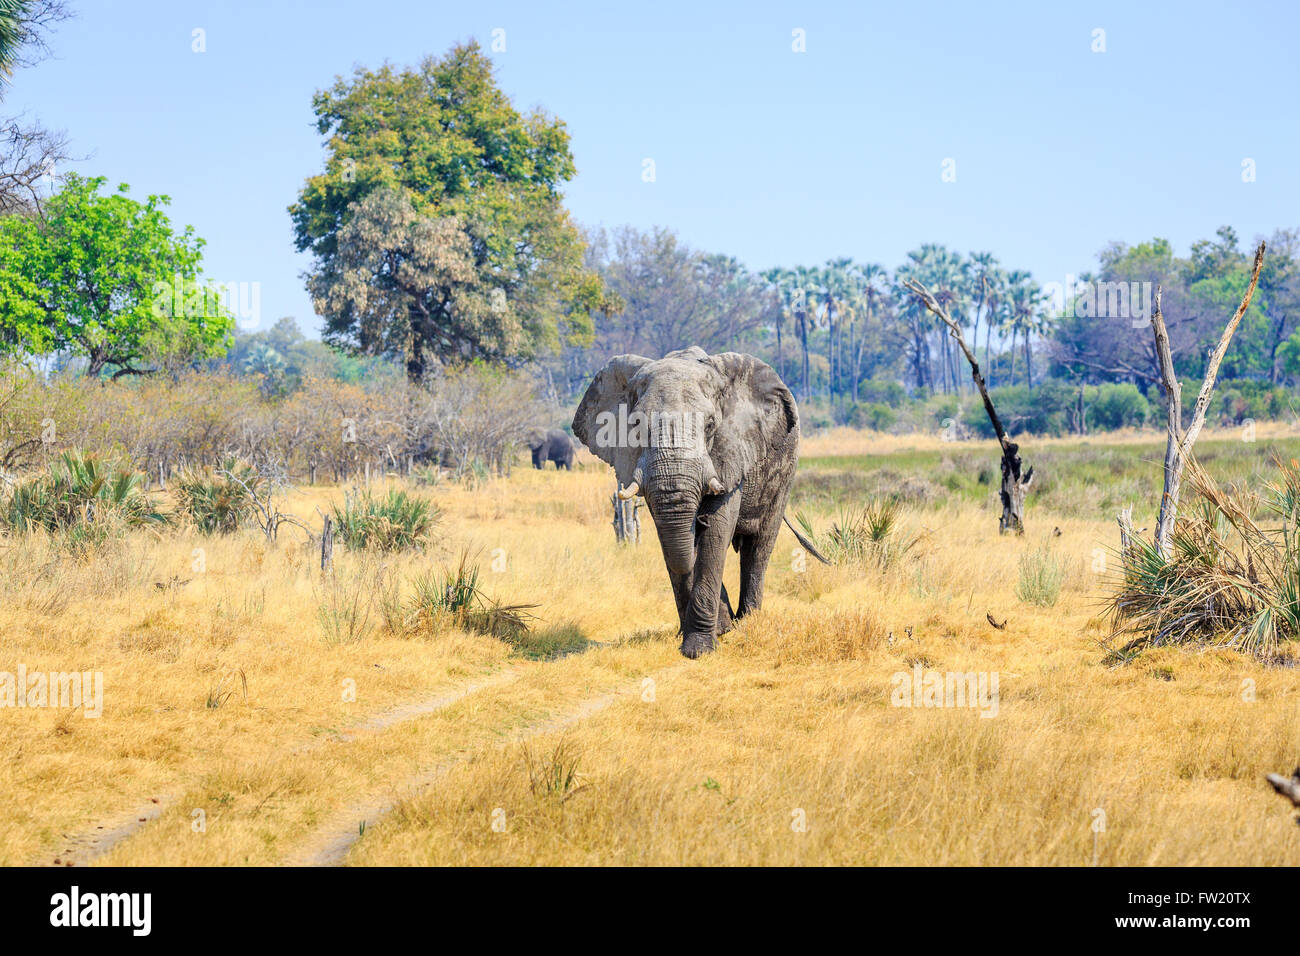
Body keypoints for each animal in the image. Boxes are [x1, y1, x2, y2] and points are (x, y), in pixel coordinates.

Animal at [577, 348, 826, 658]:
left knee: (758, 546)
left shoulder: (731, 452)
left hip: (785, 470)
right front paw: (711, 632)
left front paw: (699, 650)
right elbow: (676, 539)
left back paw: (748, 621)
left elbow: (716, 531)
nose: (699, 520)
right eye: (636, 426)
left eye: (710, 426)